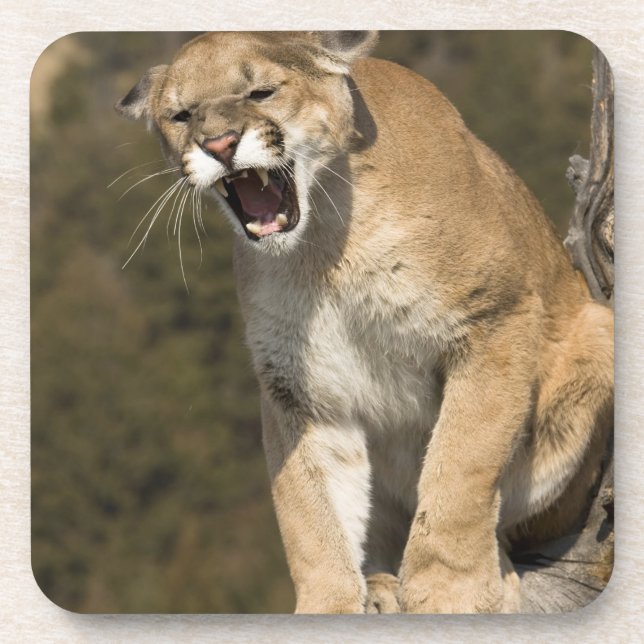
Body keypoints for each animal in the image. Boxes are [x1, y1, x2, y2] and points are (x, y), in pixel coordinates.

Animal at [116, 31, 614, 613]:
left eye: (261, 92)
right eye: (181, 115)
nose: (218, 145)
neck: (325, 245)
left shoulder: (494, 318)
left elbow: (460, 465)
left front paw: (451, 591)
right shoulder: (298, 387)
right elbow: (308, 508)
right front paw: (329, 603)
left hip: (595, 334)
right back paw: (379, 586)